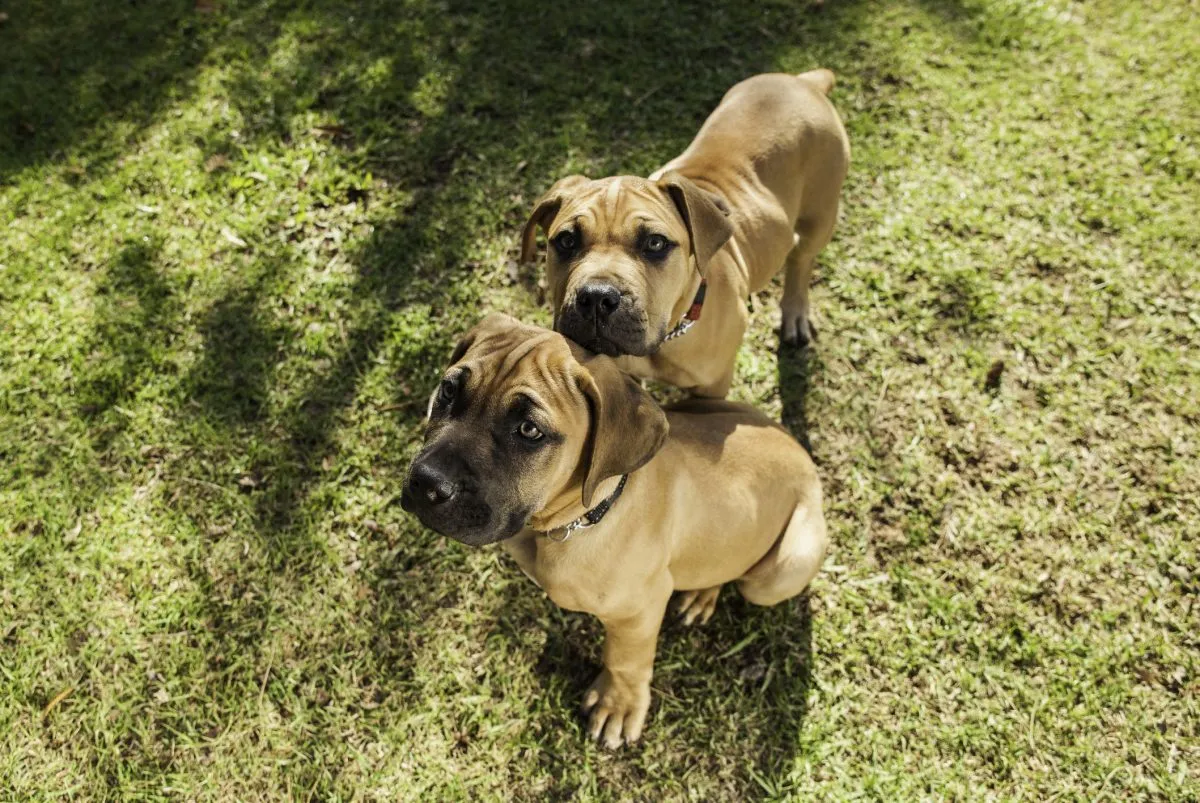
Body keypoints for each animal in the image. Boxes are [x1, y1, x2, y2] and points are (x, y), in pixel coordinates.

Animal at [403, 312, 825, 744]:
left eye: (529, 430)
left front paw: (618, 705)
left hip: (782, 572)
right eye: (449, 390)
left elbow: (625, 659)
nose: (425, 482)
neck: (578, 520)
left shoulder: (641, 610)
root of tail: (803, 456)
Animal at [520, 70, 849, 396]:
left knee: (801, 259)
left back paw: (795, 312)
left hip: (820, 215)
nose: (596, 297)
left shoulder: (713, 388)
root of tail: (804, 82)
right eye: (566, 241)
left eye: (655, 243)